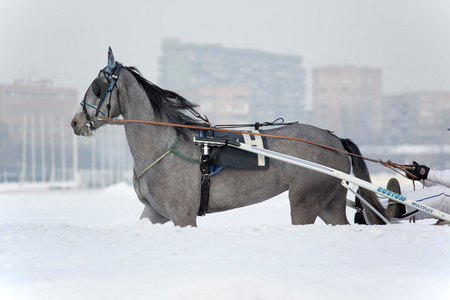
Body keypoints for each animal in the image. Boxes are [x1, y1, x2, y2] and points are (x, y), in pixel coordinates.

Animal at [70, 48, 386, 226]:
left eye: (97, 86)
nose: (75, 121)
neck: (165, 147)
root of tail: (336, 141)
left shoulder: (183, 216)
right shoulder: (155, 213)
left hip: (305, 201)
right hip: (330, 204)